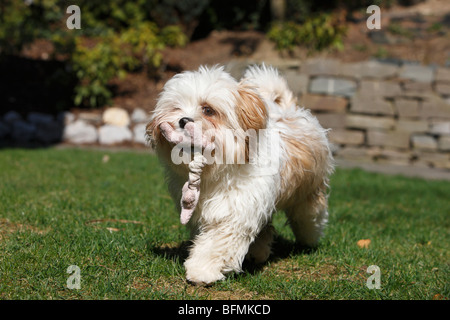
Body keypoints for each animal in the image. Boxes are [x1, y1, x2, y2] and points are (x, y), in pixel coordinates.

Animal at [148, 63, 334, 284]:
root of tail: (289, 110)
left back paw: (309, 238)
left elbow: (218, 241)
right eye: (176, 107)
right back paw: (259, 252)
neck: (215, 170)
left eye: (208, 110)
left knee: (308, 214)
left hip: (308, 192)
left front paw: (202, 269)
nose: (183, 120)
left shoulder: (237, 209)